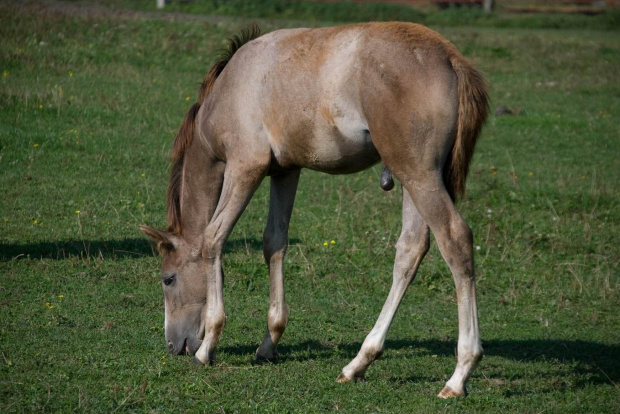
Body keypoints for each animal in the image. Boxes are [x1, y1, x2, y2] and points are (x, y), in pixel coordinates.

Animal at [140, 22, 490, 398]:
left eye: (168, 279)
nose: (173, 346)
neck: (230, 88)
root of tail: (450, 58)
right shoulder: (285, 171)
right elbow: (274, 242)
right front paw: (269, 343)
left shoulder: (245, 166)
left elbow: (213, 238)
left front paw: (207, 348)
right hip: (415, 177)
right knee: (410, 250)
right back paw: (359, 362)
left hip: (418, 173)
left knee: (455, 239)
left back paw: (459, 374)